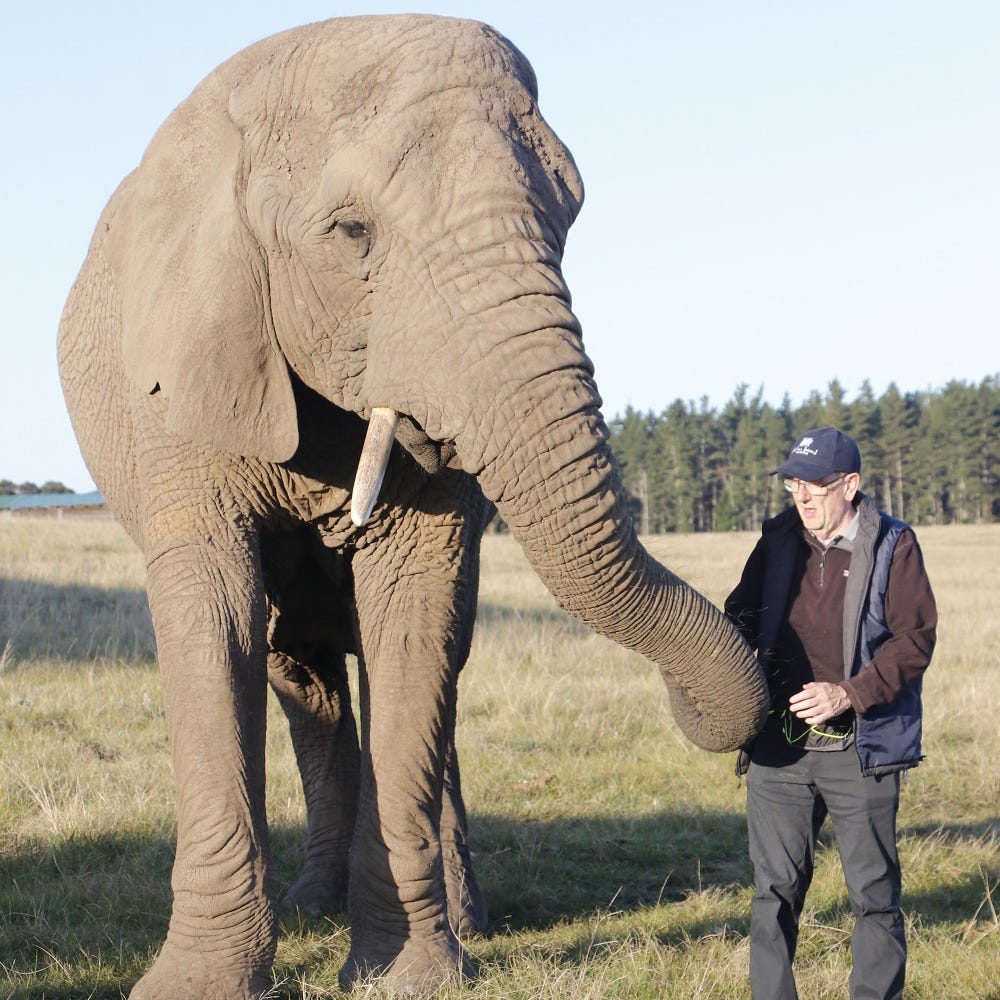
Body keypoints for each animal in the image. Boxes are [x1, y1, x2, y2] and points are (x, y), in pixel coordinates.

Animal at [58, 11, 768, 996]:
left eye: (569, 214)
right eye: (352, 231)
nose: (712, 716)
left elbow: (414, 614)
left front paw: (410, 976)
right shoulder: (181, 373)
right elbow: (211, 619)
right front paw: (192, 987)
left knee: (436, 661)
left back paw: (460, 916)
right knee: (299, 669)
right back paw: (311, 909)